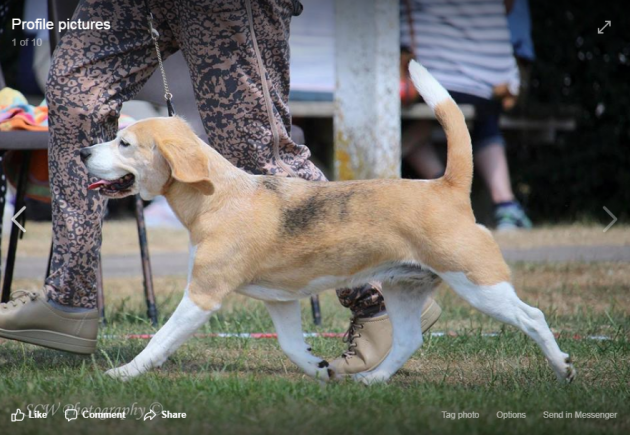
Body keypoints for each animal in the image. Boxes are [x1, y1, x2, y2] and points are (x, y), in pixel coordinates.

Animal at [81, 61, 575, 384]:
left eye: (124, 142)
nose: (83, 152)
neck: (218, 195)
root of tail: (446, 186)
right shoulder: (279, 301)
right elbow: (290, 344)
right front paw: (319, 369)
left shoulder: (201, 296)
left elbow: (159, 340)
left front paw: (122, 373)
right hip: (403, 287)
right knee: (407, 340)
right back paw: (371, 381)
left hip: (478, 282)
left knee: (532, 316)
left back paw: (562, 369)